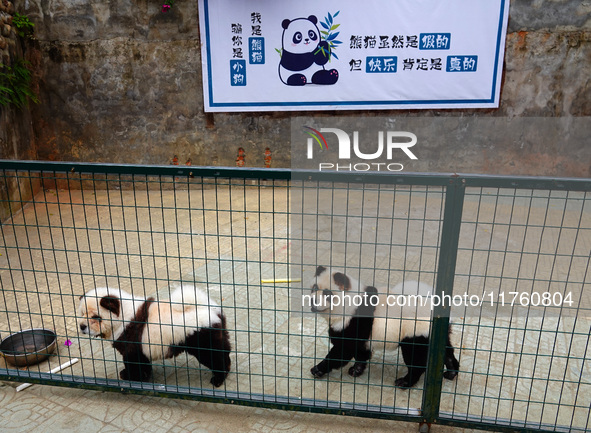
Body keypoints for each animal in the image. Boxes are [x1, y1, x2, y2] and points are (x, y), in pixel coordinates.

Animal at [78, 284, 234, 384]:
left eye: (96, 317)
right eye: (82, 314)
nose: (82, 326)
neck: (122, 316)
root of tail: (210, 310)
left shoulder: (132, 343)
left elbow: (133, 362)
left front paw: (130, 376)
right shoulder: (142, 347)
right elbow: (143, 362)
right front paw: (144, 375)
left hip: (201, 337)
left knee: (214, 357)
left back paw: (218, 379)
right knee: (223, 350)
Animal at [308, 266, 460, 388]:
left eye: (327, 293)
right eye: (314, 287)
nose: (313, 301)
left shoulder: (354, 320)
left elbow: (343, 350)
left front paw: (318, 369)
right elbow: (361, 351)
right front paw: (356, 370)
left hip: (416, 329)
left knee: (415, 356)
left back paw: (405, 382)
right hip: (434, 331)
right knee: (445, 349)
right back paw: (451, 372)